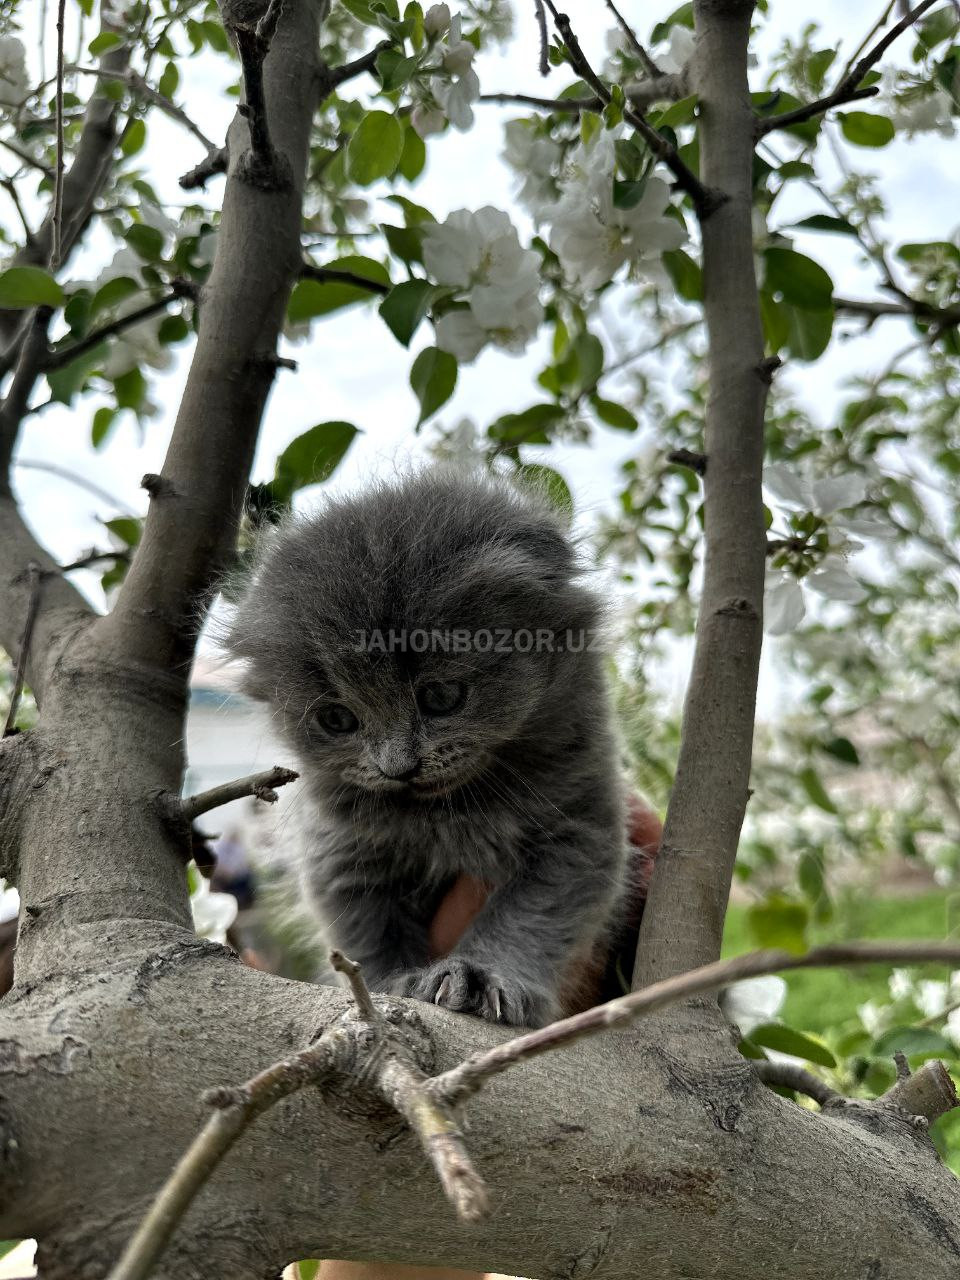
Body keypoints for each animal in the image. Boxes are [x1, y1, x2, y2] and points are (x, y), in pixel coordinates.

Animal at [225, 471, 632, 1029]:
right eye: (337, 719)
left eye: (441, 697)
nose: (398, 767)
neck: (447, 814)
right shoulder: (343, 854)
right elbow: (368, 934)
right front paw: (390, 988)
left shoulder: (578, 825)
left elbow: (528, 915)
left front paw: (485, 974)